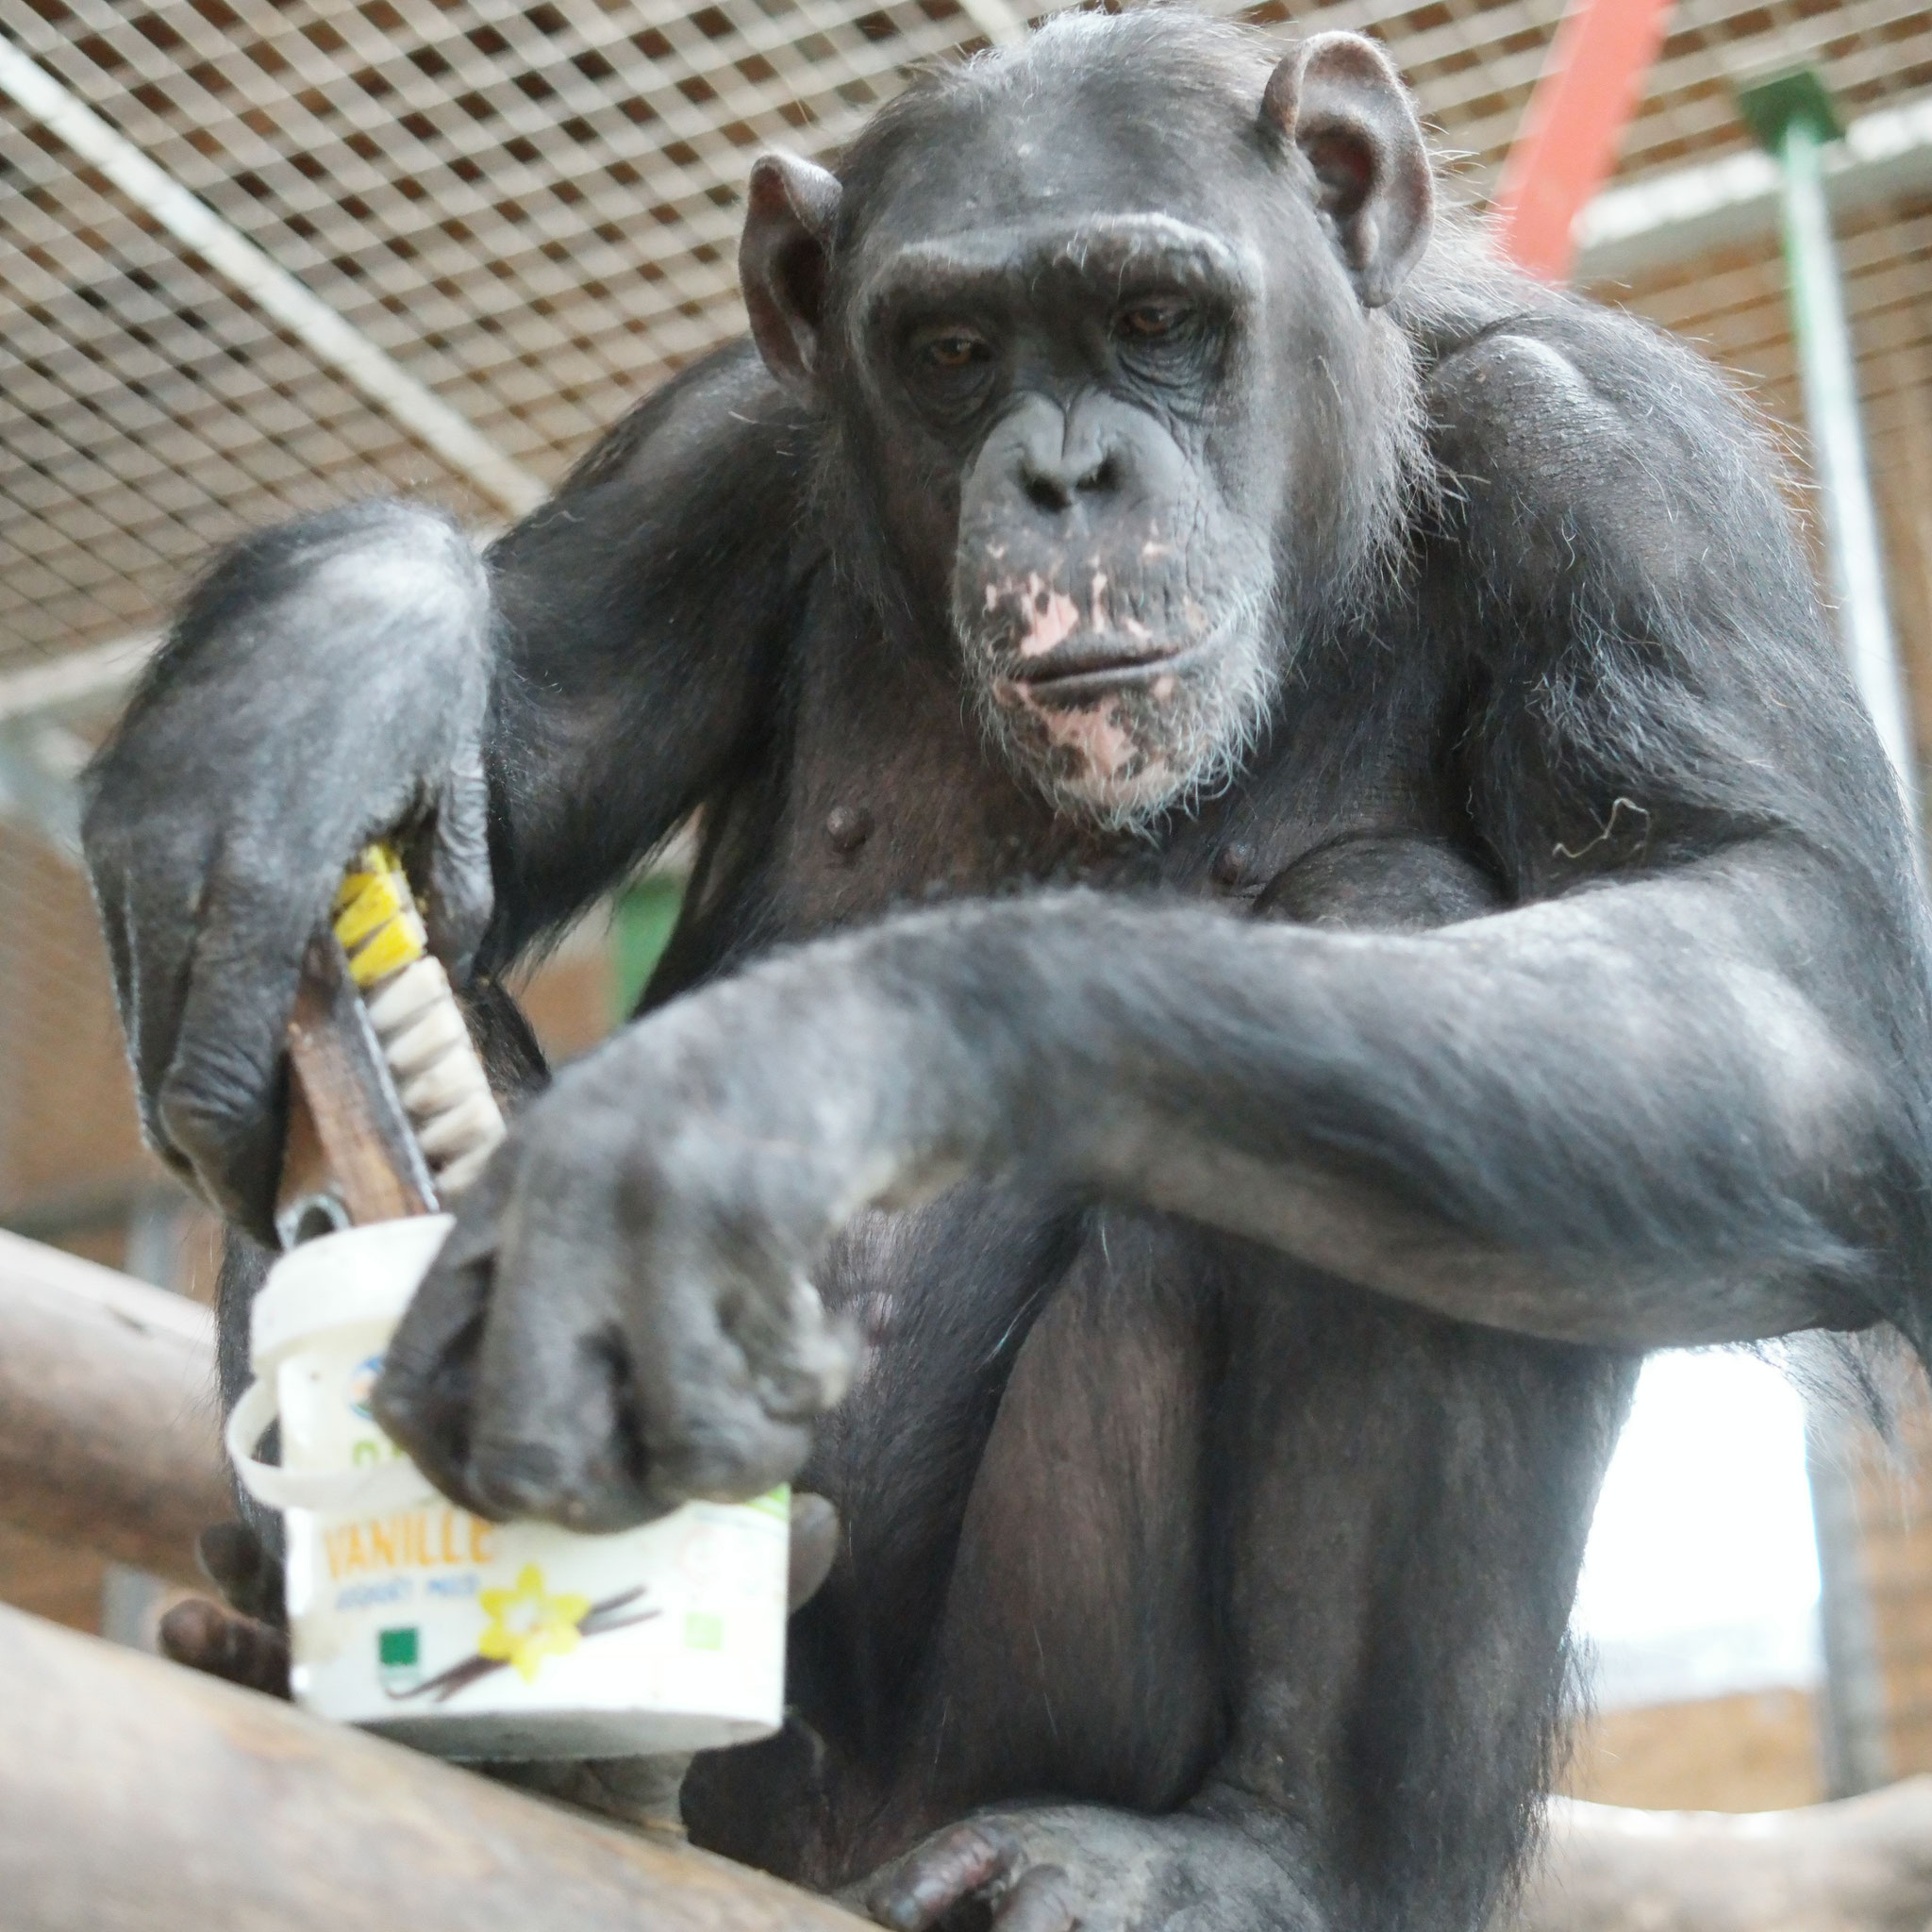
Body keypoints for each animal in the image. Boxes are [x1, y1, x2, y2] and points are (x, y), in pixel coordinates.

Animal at [83, 15, 1932, 1932]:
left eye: (1155, 317)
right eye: (955, 354)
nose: (1062, 474)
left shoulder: (1615, 476)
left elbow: (1779, 979)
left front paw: (787, 1078)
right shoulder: (719, 450)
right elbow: (522, 724)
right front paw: (307, 694)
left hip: (1015, 1721)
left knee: (1406, 934)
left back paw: (1253, 1855)